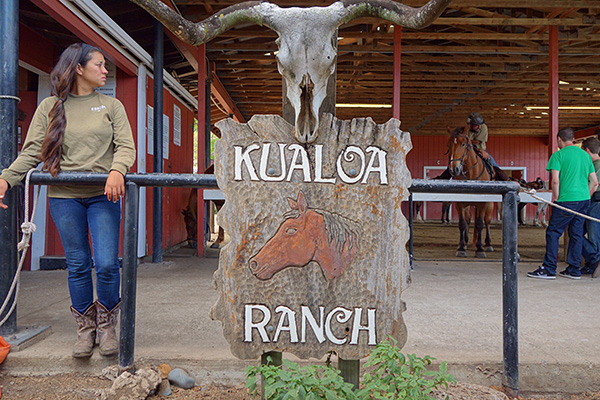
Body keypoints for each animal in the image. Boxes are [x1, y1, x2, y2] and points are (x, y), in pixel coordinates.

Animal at [448, 126, 494, 258]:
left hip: (490, 204)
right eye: (449, 145)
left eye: (463, 144)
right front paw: (461, 248)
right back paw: (464, 243)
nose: (454, 169)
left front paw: (480, 249)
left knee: (487, 221)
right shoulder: (459, 203)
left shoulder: (483, 203)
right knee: (468, 220)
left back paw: (487, 244)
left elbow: (479, 223)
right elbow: (462, 223)